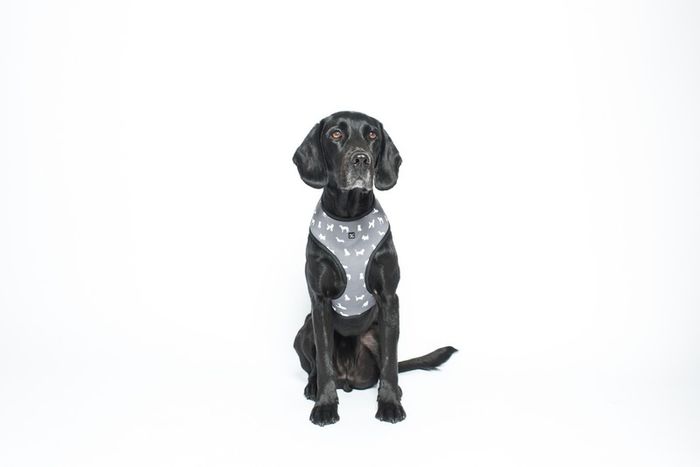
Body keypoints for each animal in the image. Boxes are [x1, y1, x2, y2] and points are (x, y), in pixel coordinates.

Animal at [292, 111, 456, 426]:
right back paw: (313, 386)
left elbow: (391, 362)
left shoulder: (389, 298)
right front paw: (325, 405)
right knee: (316, 365)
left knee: (385, 367)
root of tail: (349, 379)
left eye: (372, 135)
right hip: (305, 327)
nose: (361, 159)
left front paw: (390, 404)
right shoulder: (319, 301)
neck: (349, 219)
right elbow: (323, 359)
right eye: (335, 134)